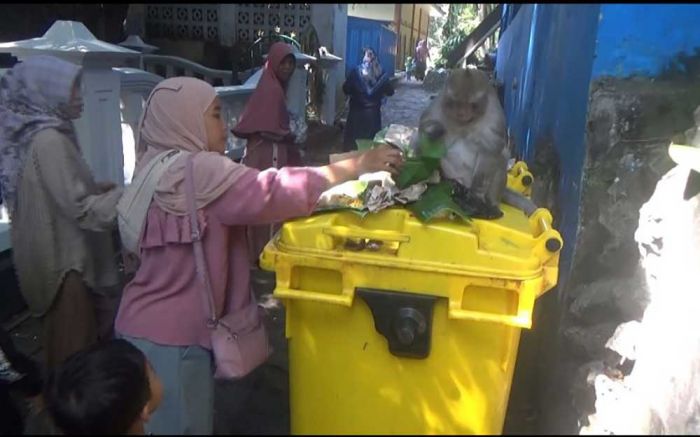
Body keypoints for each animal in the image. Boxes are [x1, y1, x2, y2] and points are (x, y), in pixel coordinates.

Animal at [418, 67, 540, 218]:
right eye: (457, 102)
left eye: (472, 105)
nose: (462, 113)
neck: (465, 123)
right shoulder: (439, 104)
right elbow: (424, 127)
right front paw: (434, 130)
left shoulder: (494, 116)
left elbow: (490, 150)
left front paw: (476, 194)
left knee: (502, 156)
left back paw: (489, 206)